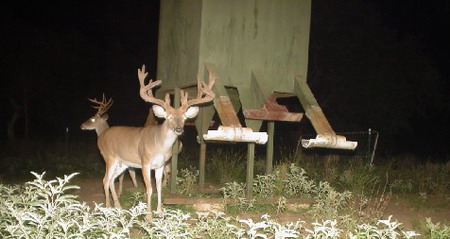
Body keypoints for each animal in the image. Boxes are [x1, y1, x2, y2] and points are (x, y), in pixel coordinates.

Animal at [96, 64, 214, 219]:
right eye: (169, 117)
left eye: (184, 117)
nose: (179, 129)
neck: (159, 145)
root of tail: (100, 137)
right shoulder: (145, 162)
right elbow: (149, 188)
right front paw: (148, 215)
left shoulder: (160, 165)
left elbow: (159, 187)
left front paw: (160, 211)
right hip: (109, 157)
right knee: (105, 180)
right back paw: (108, 208)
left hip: (123, 163)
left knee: (111, 180)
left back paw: (118, 208)